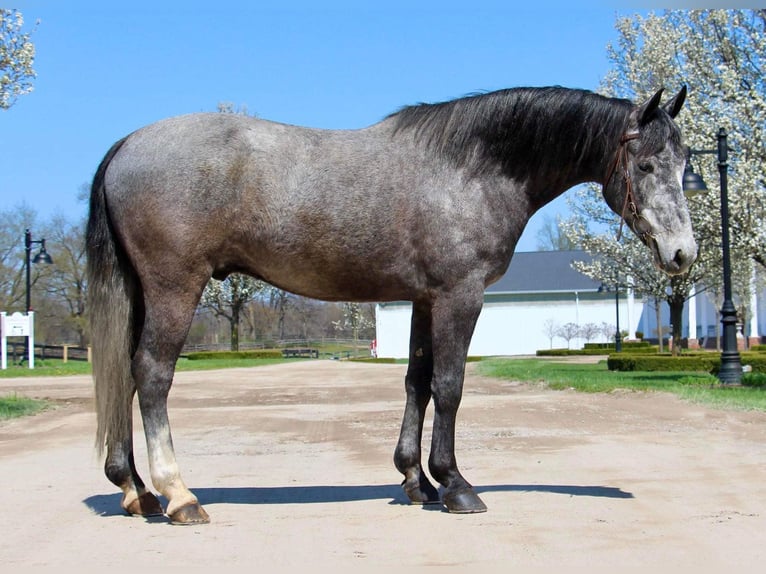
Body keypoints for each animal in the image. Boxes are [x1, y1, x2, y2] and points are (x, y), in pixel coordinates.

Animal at [87, 86, 700, 528]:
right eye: (646, 165)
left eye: (685, 163)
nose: (682, 254)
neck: (470, 170)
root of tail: (126, 145)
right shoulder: (459, 295)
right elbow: (450, 385)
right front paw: (455, 485)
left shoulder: (424, 300)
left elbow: (417, 382)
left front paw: (416, 482)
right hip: (174, 287)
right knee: (152, 374)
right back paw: (178, 496)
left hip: (141, 292)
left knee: (123, 373)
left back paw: (134, 490)